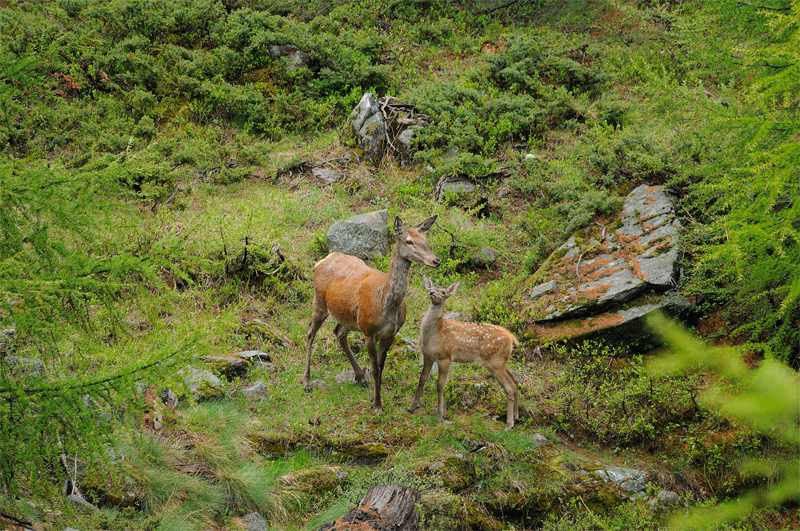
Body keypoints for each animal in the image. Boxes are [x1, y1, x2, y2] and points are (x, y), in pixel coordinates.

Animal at [304, 214, 440, 414]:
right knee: (310, 333)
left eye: (425, 240)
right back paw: (306, 381)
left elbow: (381, 367)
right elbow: (375, 368)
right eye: (409, 241)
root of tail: (321, 260)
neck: (385, 302)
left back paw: (361, 378)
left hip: (350, 317)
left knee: (339, 332)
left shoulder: (391, 333)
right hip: (319, 301)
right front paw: (376, 406)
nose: (436, 260)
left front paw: (375, 399)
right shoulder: (369, 331)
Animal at [410, 276, 520, 430]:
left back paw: (509, 424)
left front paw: (439, 414)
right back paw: (516, 417)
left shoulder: (445, 357)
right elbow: (422, 379)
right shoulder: (427, 355)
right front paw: (412, 407)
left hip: (494, 362)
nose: (431, 292)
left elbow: (440, 385)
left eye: (443, 292)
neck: (435, 333)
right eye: (432, 287)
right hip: (502, 361)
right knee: (515, 380)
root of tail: (511, 337)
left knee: (509, 386)